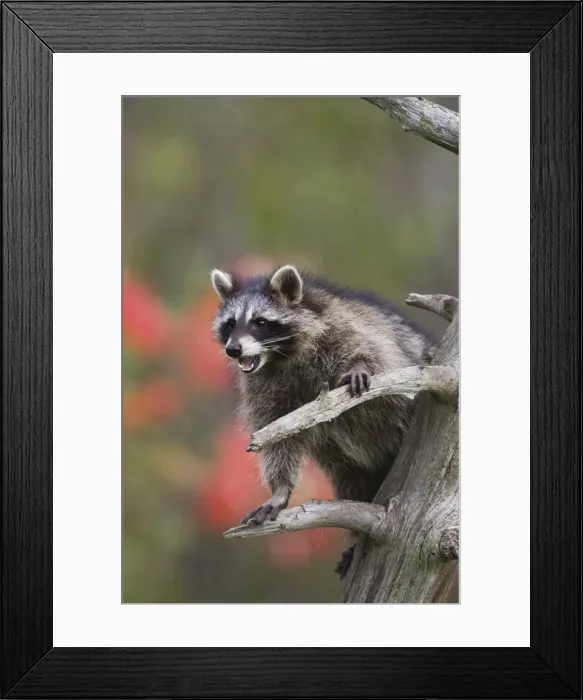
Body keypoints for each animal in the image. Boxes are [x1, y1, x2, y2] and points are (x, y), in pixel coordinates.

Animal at [211, 264, 436, 576]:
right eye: (231, 323)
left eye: (260, 322)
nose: (233, 349)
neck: (280, 357)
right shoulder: (265, 388)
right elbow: (278, 435)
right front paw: (280, 489)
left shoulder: (347, 330)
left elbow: (375, 355)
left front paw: (360, 364)